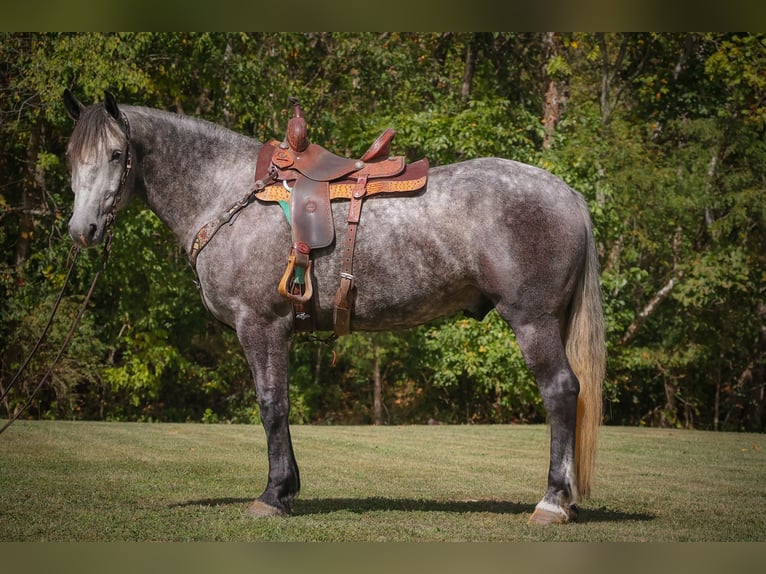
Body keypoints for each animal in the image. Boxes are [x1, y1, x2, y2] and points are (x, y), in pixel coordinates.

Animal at [62, 90, 605, 526]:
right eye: (70, 157)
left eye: (116, 154)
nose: (82, 230)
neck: (226, 194)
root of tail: (567, 194)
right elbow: (280, 407)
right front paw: (288, 489)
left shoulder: (261, 325)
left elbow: (271, 406)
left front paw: (272, 495)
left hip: (532, 322)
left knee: (561, 392)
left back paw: (552, 502)